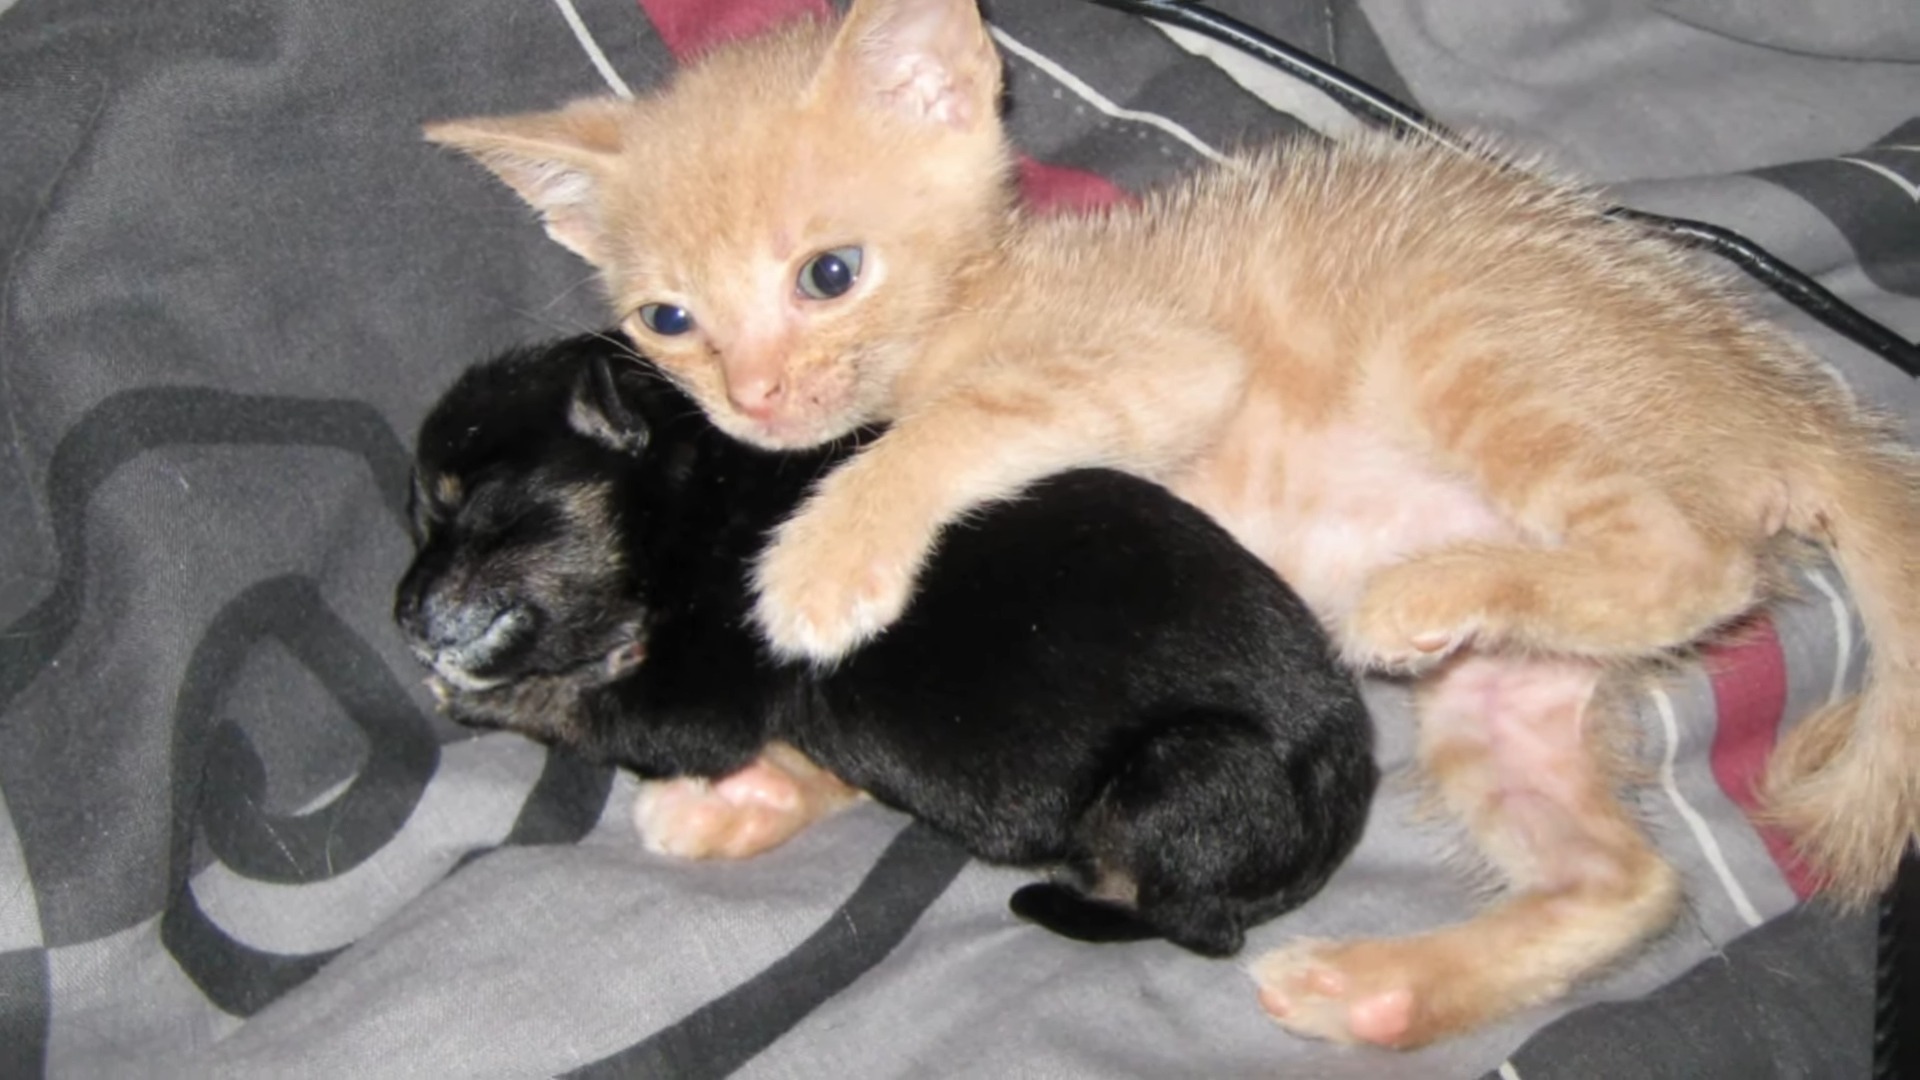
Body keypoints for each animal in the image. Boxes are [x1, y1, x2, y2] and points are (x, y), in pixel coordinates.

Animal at [393, 332, 1382, 953]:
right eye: (420, 518)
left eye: (474, 506)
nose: (399, 614)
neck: (695, 488)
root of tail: (1345, 809)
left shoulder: (702, 706)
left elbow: (575, 702)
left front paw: (475, 692)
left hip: (1187, 770)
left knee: (1200, 925)